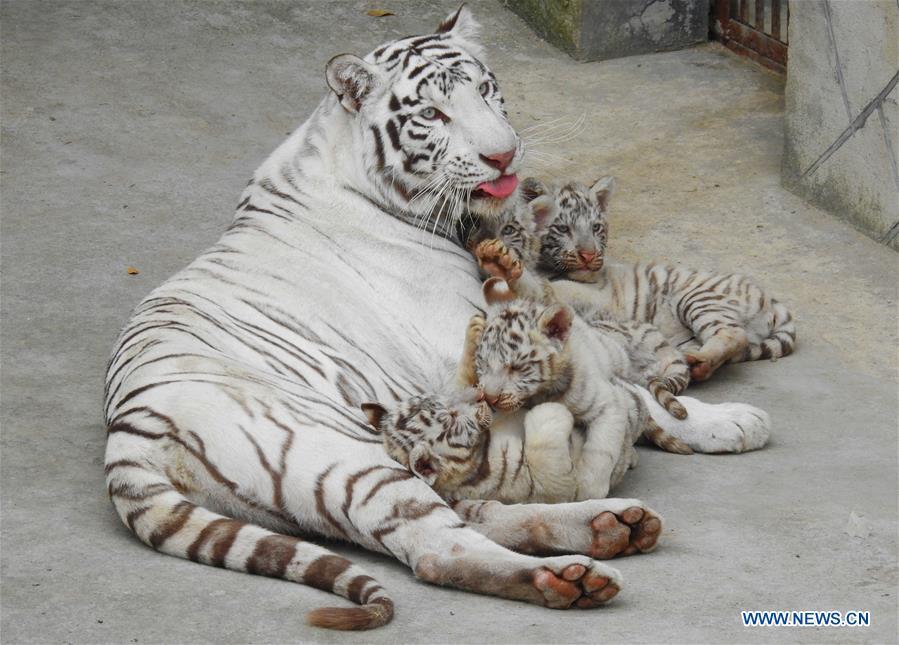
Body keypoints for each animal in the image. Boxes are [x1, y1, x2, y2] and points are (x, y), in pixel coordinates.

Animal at [524, 177, 797, 381]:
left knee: (734, 334)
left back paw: (700, 362)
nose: (589, 255)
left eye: (596, 228)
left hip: (697, 298)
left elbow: (557, 288)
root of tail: (770, 299)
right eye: (563, 229)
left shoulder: (598, 295)